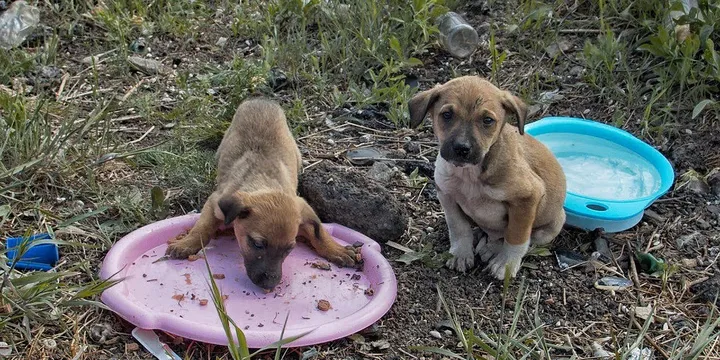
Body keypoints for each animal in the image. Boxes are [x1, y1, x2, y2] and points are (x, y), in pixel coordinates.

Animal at [167, 97, 360, 292]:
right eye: (258, 244)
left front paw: (336, 249)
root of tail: (261, 99)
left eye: (289, 249)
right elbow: (202, 227)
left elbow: (318, 233)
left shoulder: (301, 212)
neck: (264, 180)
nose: (270, 285)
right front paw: (186, 243)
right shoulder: (215, 203)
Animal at [408, 75, 564, 278]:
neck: (470, 174)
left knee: (516, 237)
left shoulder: (528, 198)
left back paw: (492, 248)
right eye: (447, 115)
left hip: (551, 225)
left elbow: (516, 236)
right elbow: (459, 228)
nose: (462, 149)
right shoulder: (447, 196)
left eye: (487, 120)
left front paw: (506, 263)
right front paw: (461, 253)